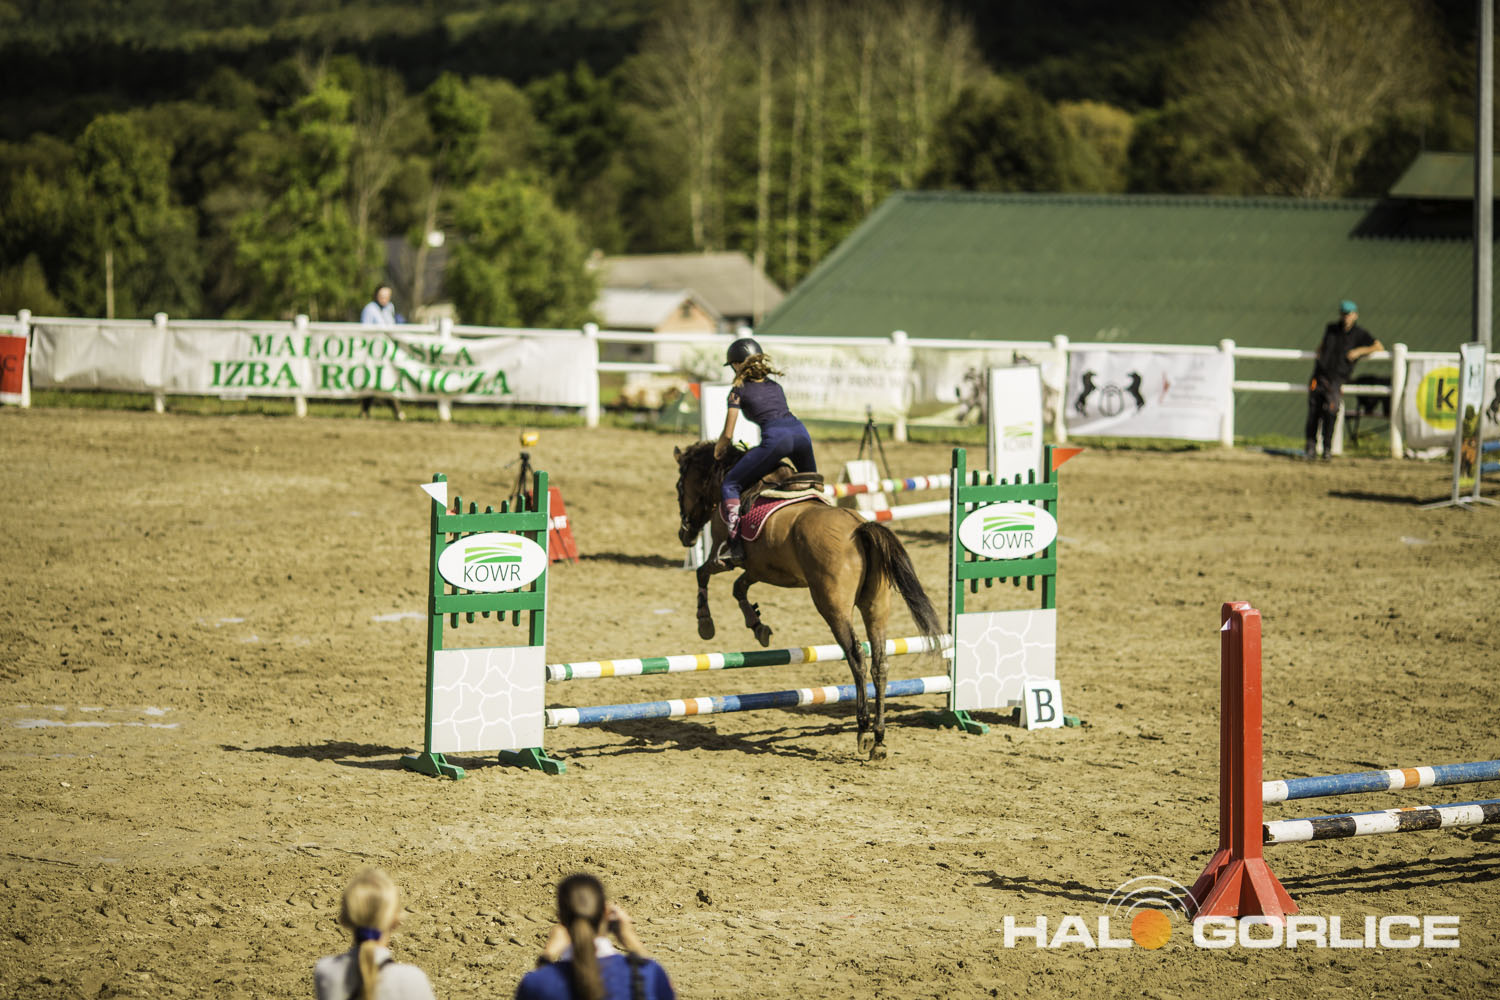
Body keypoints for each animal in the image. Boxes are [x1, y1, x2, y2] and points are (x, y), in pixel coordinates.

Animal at [673, 441, 945, 760]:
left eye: (680, 486)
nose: (685, 536)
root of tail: (859, 529)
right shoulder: (762, 569)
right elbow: (739, 588)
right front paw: (758, 626)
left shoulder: (724, 557)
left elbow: (703, 574)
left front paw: (705, 623)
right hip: (877, 606)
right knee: (880, 662)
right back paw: (879, 738)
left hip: (833, 607)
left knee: (856, 656)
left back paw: (863, 731)